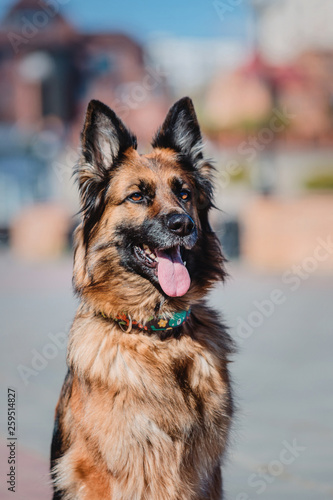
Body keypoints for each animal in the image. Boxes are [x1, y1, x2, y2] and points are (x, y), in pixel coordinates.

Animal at [51, 97, 233, 500]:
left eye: (184, 193)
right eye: (137, 196)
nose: (183, 225)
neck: (157, 334)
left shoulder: (206, 473)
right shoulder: (103, 475)